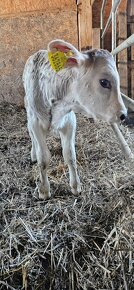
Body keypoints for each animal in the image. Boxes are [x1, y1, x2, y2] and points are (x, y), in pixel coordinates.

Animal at [22, 39, 126, 199]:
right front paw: (44, 190)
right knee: (31, 136)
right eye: (104, 82)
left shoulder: (70, 121)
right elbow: (43, 158)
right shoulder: (36, 122)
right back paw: (33, 153)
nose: (123, 114)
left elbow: (70, 155)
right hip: (28, 110)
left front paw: (76, 186)